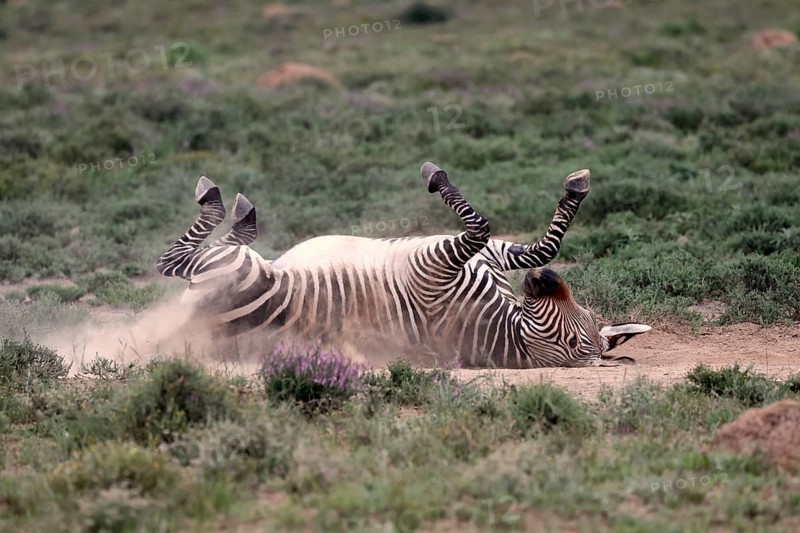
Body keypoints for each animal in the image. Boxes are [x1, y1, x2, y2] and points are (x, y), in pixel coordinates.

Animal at [156, 162, 650, 368]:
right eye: (584, 314)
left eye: (570, 340)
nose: (541, 282)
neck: (505, 323)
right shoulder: (487, 257)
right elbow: (540, 246)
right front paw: (576, 190)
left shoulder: (438, 265)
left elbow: (478, 225)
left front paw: (435, 176)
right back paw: (243, 213)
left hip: (236, 271)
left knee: (174, 259)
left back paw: (220, 200)